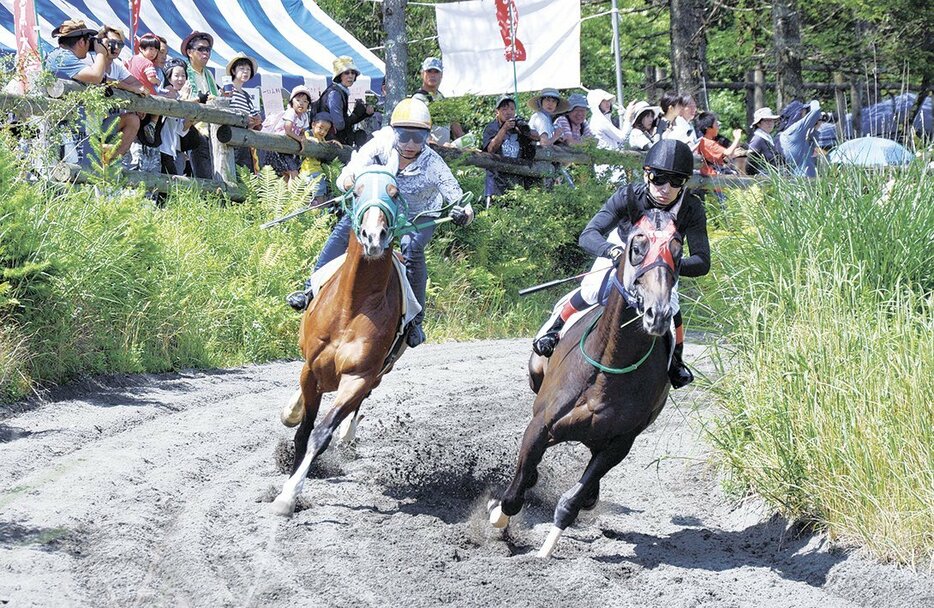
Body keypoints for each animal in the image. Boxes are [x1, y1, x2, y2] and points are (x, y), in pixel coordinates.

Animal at [276, 171, 412, 516]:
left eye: (395, 192)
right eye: (357, 190)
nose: (374, 236)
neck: (350, 307)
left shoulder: (359, 376)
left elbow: (320, 433)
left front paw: (289, 495)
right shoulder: (311, 369)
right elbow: (303, 432)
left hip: (378, 374)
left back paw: (348, 433)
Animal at [486, 203, 684, 556]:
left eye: (677, 248)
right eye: (636, 247)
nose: (658, 313)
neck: (608, 370)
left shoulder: (618, 444)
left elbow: (571, 502)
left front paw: (544, 552)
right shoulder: (541, 426)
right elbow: (514, 493)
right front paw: (498, 517)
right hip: (536, 374)